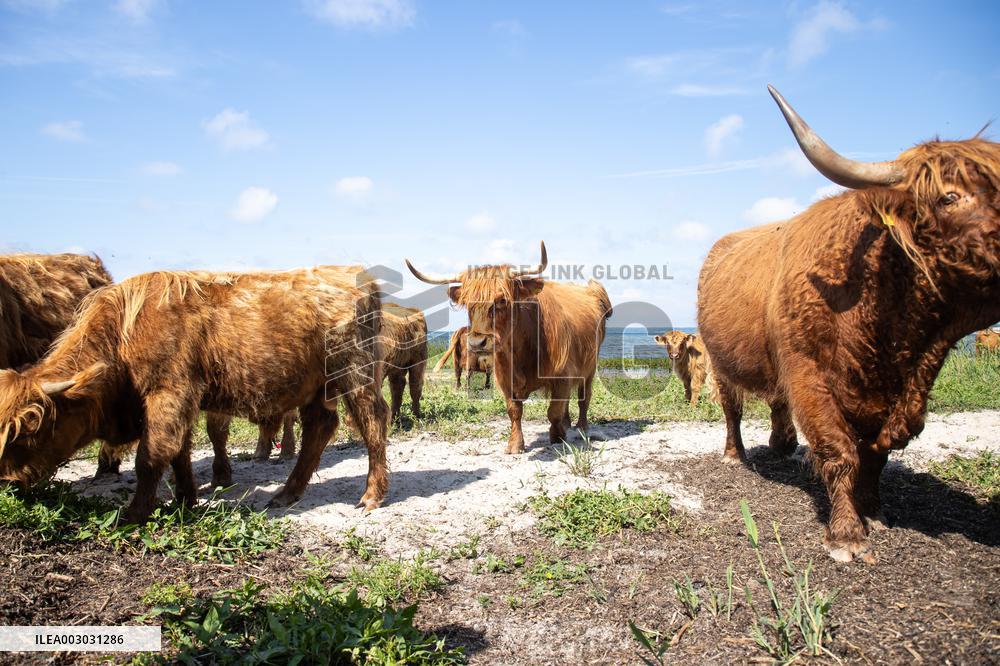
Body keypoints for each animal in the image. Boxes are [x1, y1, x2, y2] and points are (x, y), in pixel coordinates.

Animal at [0, 266, 390, 523]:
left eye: (30, 430)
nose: (8, 483)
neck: (123, 332)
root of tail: (356, 275)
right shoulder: (181, 404)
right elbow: (179, 454)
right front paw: (185, 501)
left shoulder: (168, 395)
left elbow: (151, 457)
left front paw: (135, 513)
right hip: (317, 388)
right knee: (319, 428)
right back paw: (285, 495)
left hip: (356, 375)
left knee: (372, 423)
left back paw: (370, 496)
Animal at [407, 242, 612, 453]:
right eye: (468, 304)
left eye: (502, 300)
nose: (476, 343)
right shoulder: (505, 378)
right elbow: (514, 410)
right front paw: (515, 444)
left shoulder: (562, 374)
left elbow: (553, 411)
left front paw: (558, 436)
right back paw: (568, 422)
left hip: (590, 368)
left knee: (583, 398)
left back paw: (581, 427)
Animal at [697, 85, 1000, 563]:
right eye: (950, 197)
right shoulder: (810, 376)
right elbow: (839, 449)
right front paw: (846, 534)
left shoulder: (906, 390)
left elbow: (879, 451)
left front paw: (873, 508)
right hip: (721, 361)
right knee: (733, 409)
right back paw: (735, 454)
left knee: (776, 402)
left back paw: (782, 446)